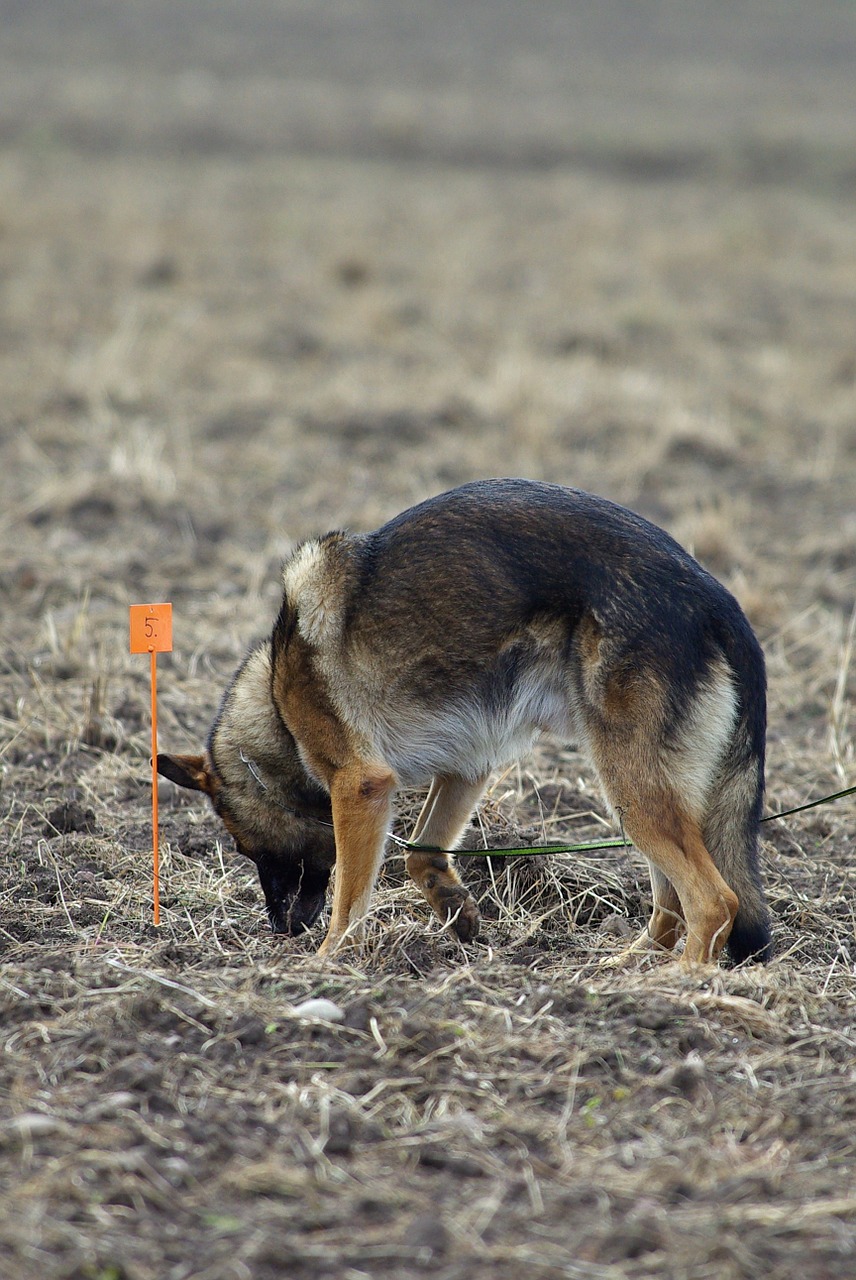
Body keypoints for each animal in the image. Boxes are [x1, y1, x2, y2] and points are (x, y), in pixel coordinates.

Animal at [156, 478, 772, 962]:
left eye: (246, 849)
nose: (282, 929)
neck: (277, 707)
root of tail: (716, 600)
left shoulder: (361, 787)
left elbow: (350, 903)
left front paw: (327, 961)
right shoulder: (468, 767)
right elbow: (420, 852)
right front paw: (456, 911)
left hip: (631, 786)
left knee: (713, 902)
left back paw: (679, 984)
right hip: (650, 792)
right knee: (672, 904)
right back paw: (624, 967)